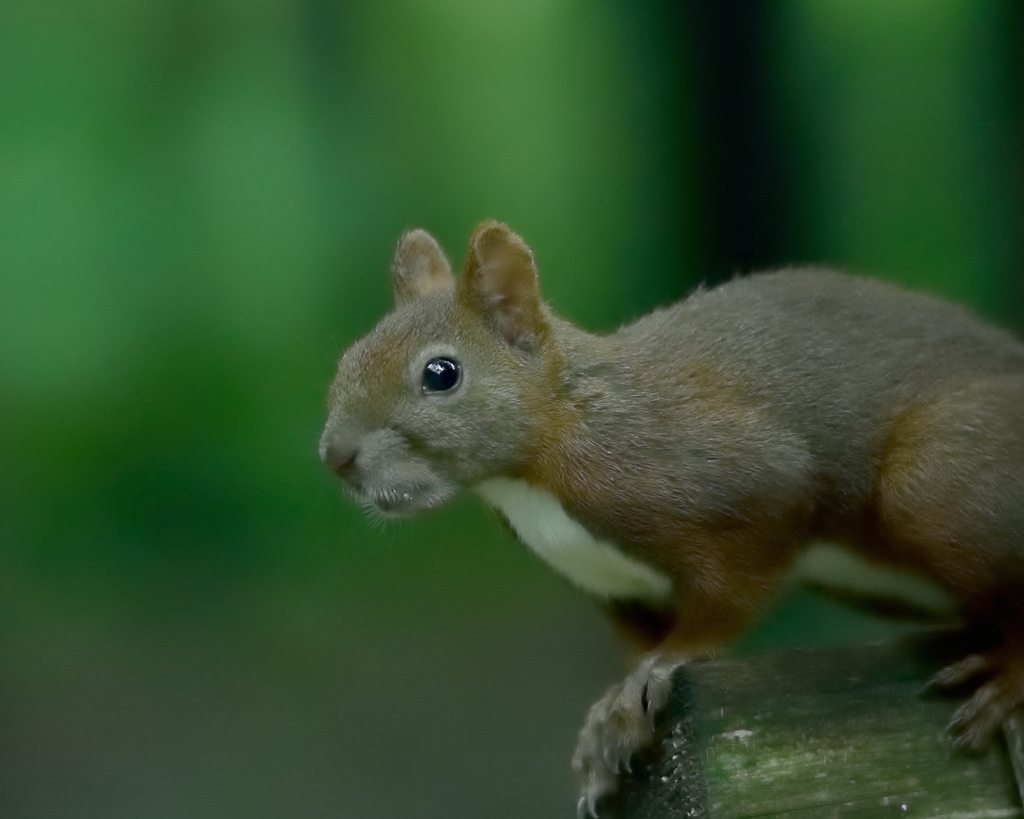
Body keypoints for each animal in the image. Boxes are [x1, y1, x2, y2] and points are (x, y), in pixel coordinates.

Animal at [317, 221, 1024, 814]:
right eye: (346, 358)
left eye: (442, 373)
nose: (334, 456)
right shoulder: (613, 584)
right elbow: (638, 639)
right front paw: (604, 728)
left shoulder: (752, 483)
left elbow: (722, 606)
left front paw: (655, 674)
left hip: (931, 479)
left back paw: (1006, 681)